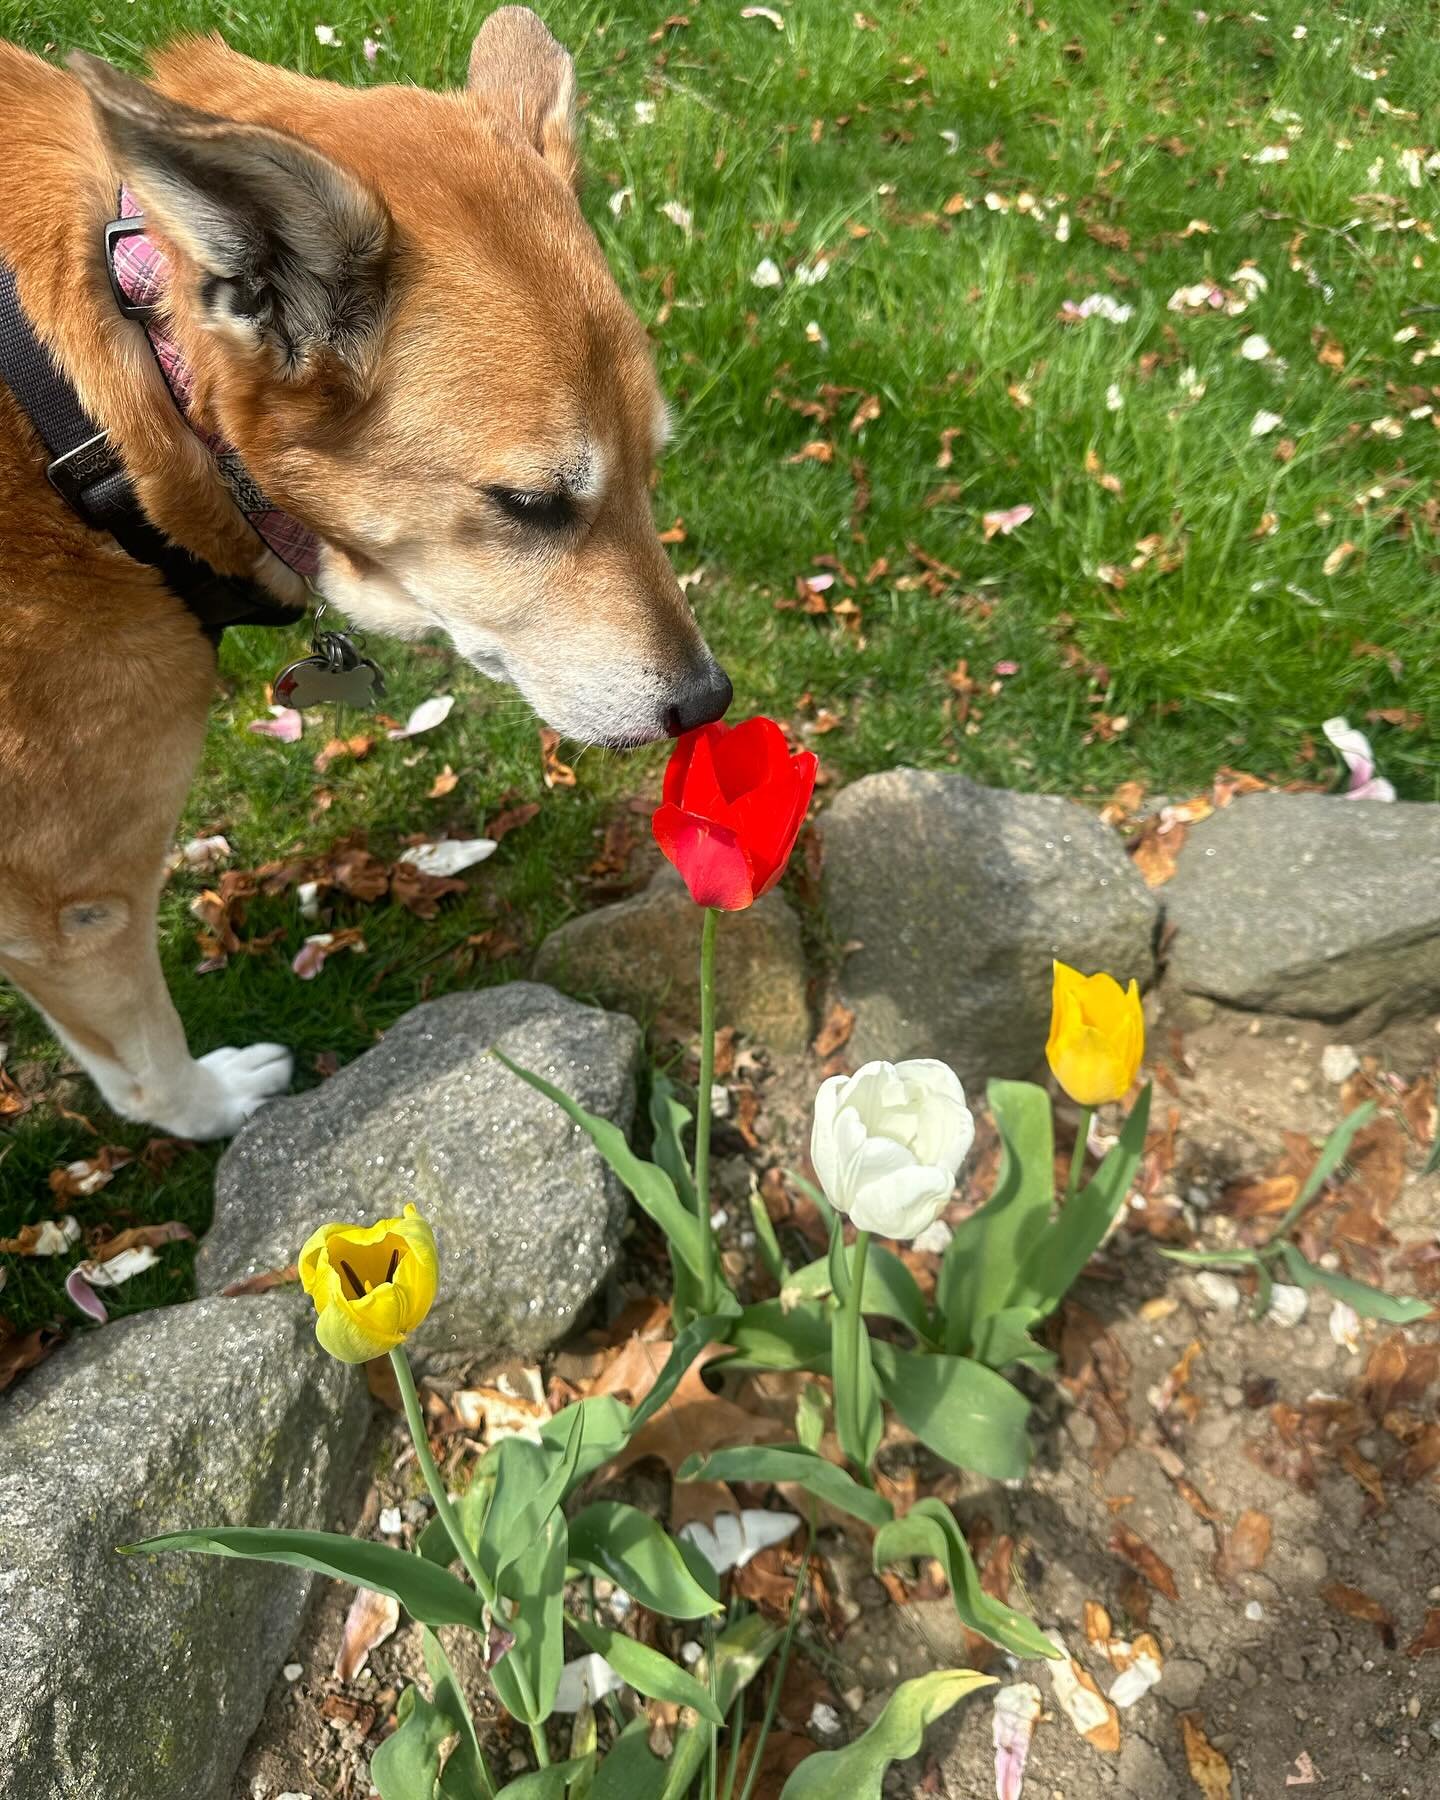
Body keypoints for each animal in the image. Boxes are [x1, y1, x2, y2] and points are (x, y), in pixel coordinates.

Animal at [0, 10, 727, 1137]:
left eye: (652, 467)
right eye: (531, 504)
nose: (709, 701)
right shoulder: (75, 903)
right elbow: (145, 1063)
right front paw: (214, 1105)